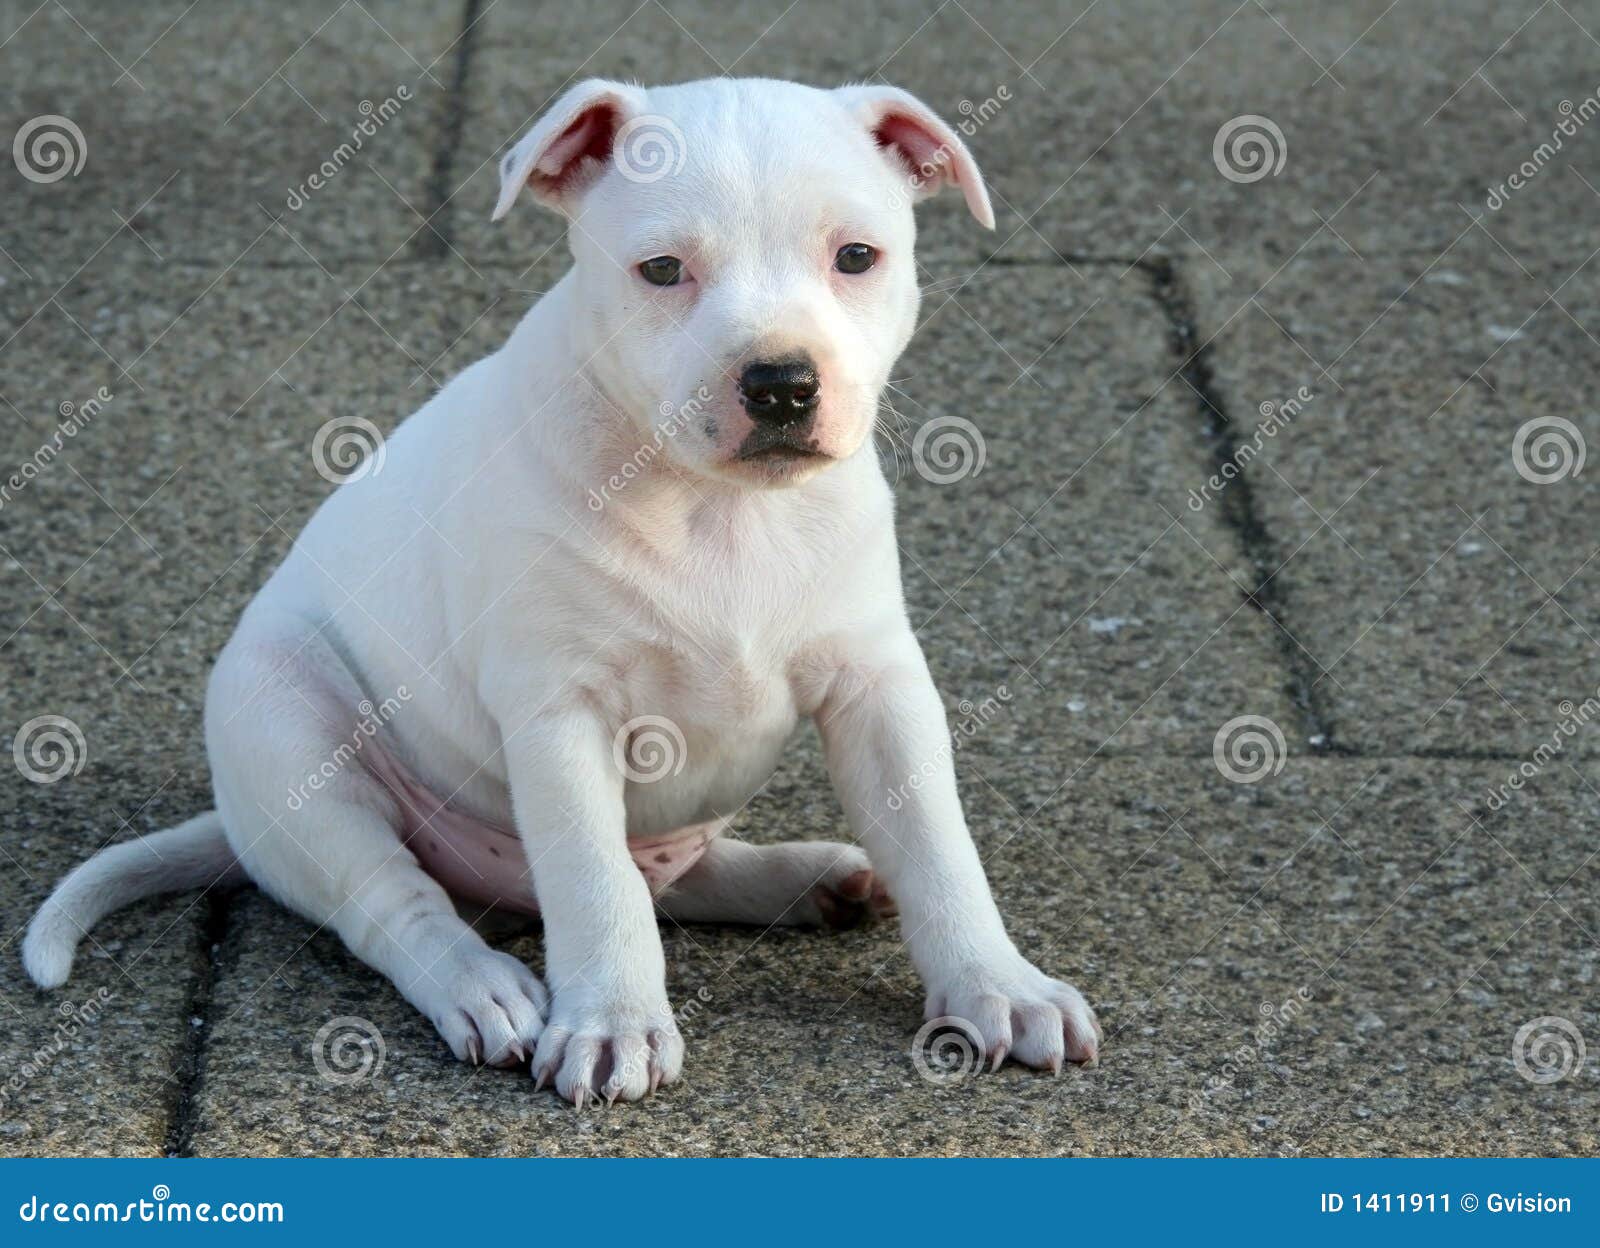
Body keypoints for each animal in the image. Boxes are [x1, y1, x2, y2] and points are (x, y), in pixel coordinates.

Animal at [25, 80, 1100, 1100]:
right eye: (661, 271)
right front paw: (612, 1024)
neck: (717, 508)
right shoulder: (560, 712)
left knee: (668, 873)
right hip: (285, 725)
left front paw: (998, 985)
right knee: (397, 899)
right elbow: (590, 877)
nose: (781, 384)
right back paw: (483, 987)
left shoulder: (880, 687)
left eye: (857, 257)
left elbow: (935, 842)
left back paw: (814, 878)